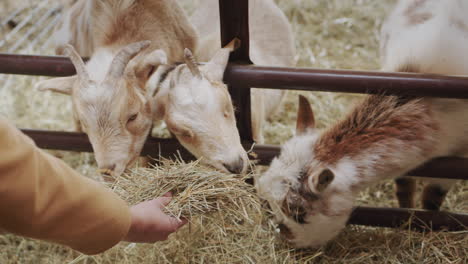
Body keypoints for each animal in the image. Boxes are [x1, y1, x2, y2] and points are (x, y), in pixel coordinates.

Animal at [256, 0, 468, 248]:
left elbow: (431, 201)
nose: (286, 240)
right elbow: (404, 189)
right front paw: (407, 217)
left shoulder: (454, 161)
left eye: (298, 214)